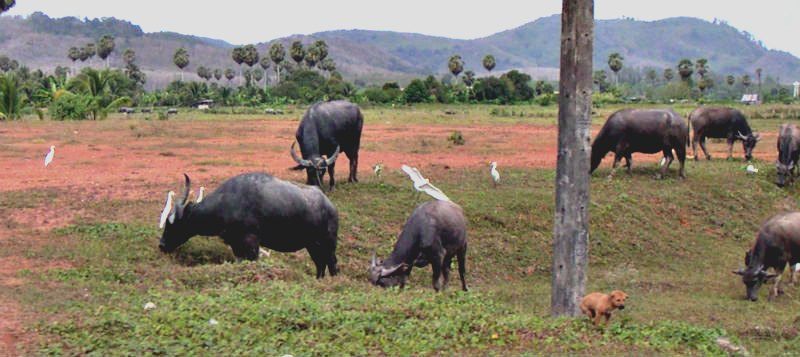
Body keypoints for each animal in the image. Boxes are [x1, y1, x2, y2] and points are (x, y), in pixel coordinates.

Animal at [161, 172, 340, 278]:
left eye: (172, 225)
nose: (161, 245)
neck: (228, 201)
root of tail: (330, 206)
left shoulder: (251, 243)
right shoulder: (236, 245)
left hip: (328, 244)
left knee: (332, 264)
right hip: (313, 245)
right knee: (320, 264)